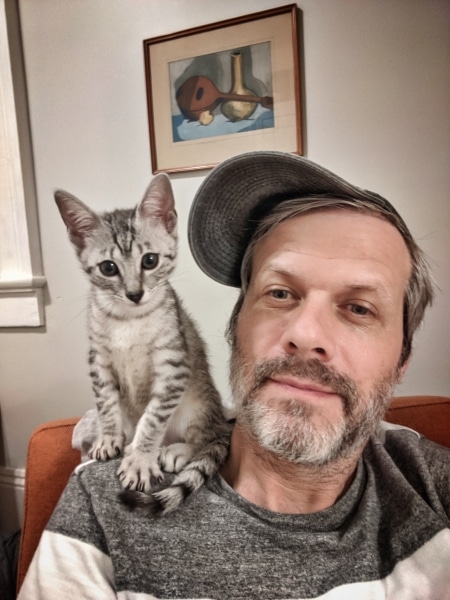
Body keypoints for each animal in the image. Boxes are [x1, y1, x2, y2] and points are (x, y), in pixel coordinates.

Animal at [55, 173, 232, 515]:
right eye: (108, 267)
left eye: (150, 261)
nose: (135, 294)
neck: (129, 320)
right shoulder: (99, 361)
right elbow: (106, 404)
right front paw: (109, 439)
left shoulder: (173, 365)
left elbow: (152, 418)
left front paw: (140, 460)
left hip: (199, 405)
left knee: (206, 438)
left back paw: (176, 449)